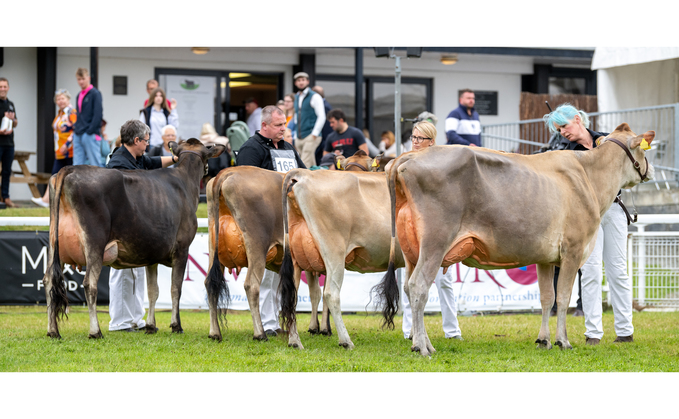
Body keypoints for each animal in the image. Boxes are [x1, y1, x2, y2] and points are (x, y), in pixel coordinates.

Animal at [45, 139, 226, 340]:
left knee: (49, 280)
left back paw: (53, 331)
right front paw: (176, 325)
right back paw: (95, 331)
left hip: (54, 244)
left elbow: (153, 291)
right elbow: (175, 288)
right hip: (95, 242)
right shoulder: (182, 248)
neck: (186, 182)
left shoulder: (152, 254)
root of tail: (70, 169)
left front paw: (150, 326)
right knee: (89, 283)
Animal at [374, 123, 656, 356]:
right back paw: (422, 347)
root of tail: (408, 157)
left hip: (411, 249)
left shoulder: (545, 258)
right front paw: (563, 341)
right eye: (644, 152)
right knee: (419, 286)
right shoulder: (573, 250)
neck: (589, 176)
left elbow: (547, 298)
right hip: (435, 242)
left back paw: (421, 343)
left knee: (408, 287)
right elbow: (564, 297)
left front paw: (544, 340)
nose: (650, 171)